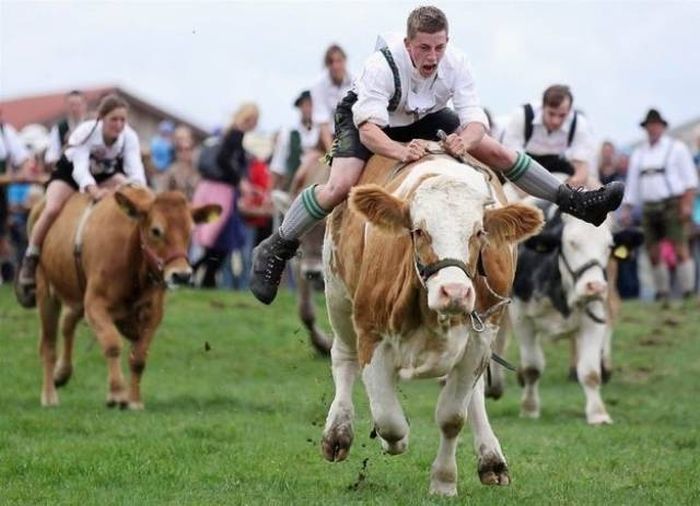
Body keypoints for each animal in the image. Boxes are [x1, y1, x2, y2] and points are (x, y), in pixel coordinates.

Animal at [32, 186, 219, 412]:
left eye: (190, 231)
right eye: (156, 230)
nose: (181, 275)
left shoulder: (152, 314)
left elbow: (138, 357)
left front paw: (135, 400)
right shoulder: (95, 305)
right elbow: (112, 344)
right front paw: (117, 394)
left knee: (67, 323)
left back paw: (62, 373)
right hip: (46, 293)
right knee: (48, 344)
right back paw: (49, 395)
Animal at [320, 152, 544, 496]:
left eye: (479, 233)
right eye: (418, 231)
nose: (455, 292)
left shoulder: (478, 341)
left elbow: (452, 416)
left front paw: (444, 482)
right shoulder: (371, 335)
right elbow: (389, 419)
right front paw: (392, 440)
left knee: (474, 394)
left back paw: (491, 459)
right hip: (338, 297)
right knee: (343, 359)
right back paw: (338, 432)